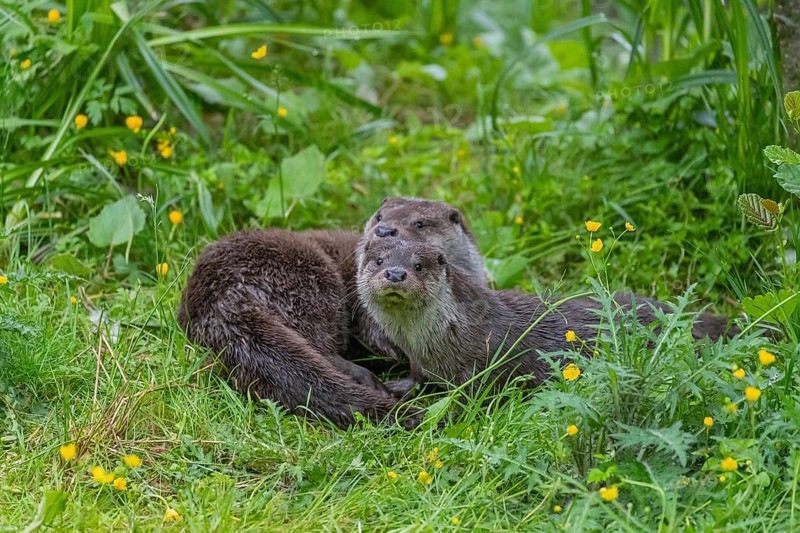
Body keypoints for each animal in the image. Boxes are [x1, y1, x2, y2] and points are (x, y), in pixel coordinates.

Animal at [178, 197, 485, 428]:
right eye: (378, 217)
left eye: (419, 223)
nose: (384, 230)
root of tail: (218, 293)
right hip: (313, 278)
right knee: (322, 347)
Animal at [356, 240, 737, 390]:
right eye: (378, 260)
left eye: (418, 265)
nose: (395, 273)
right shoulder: (421, 362)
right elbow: (417, 379)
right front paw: (395, 385)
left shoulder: (483, 362)